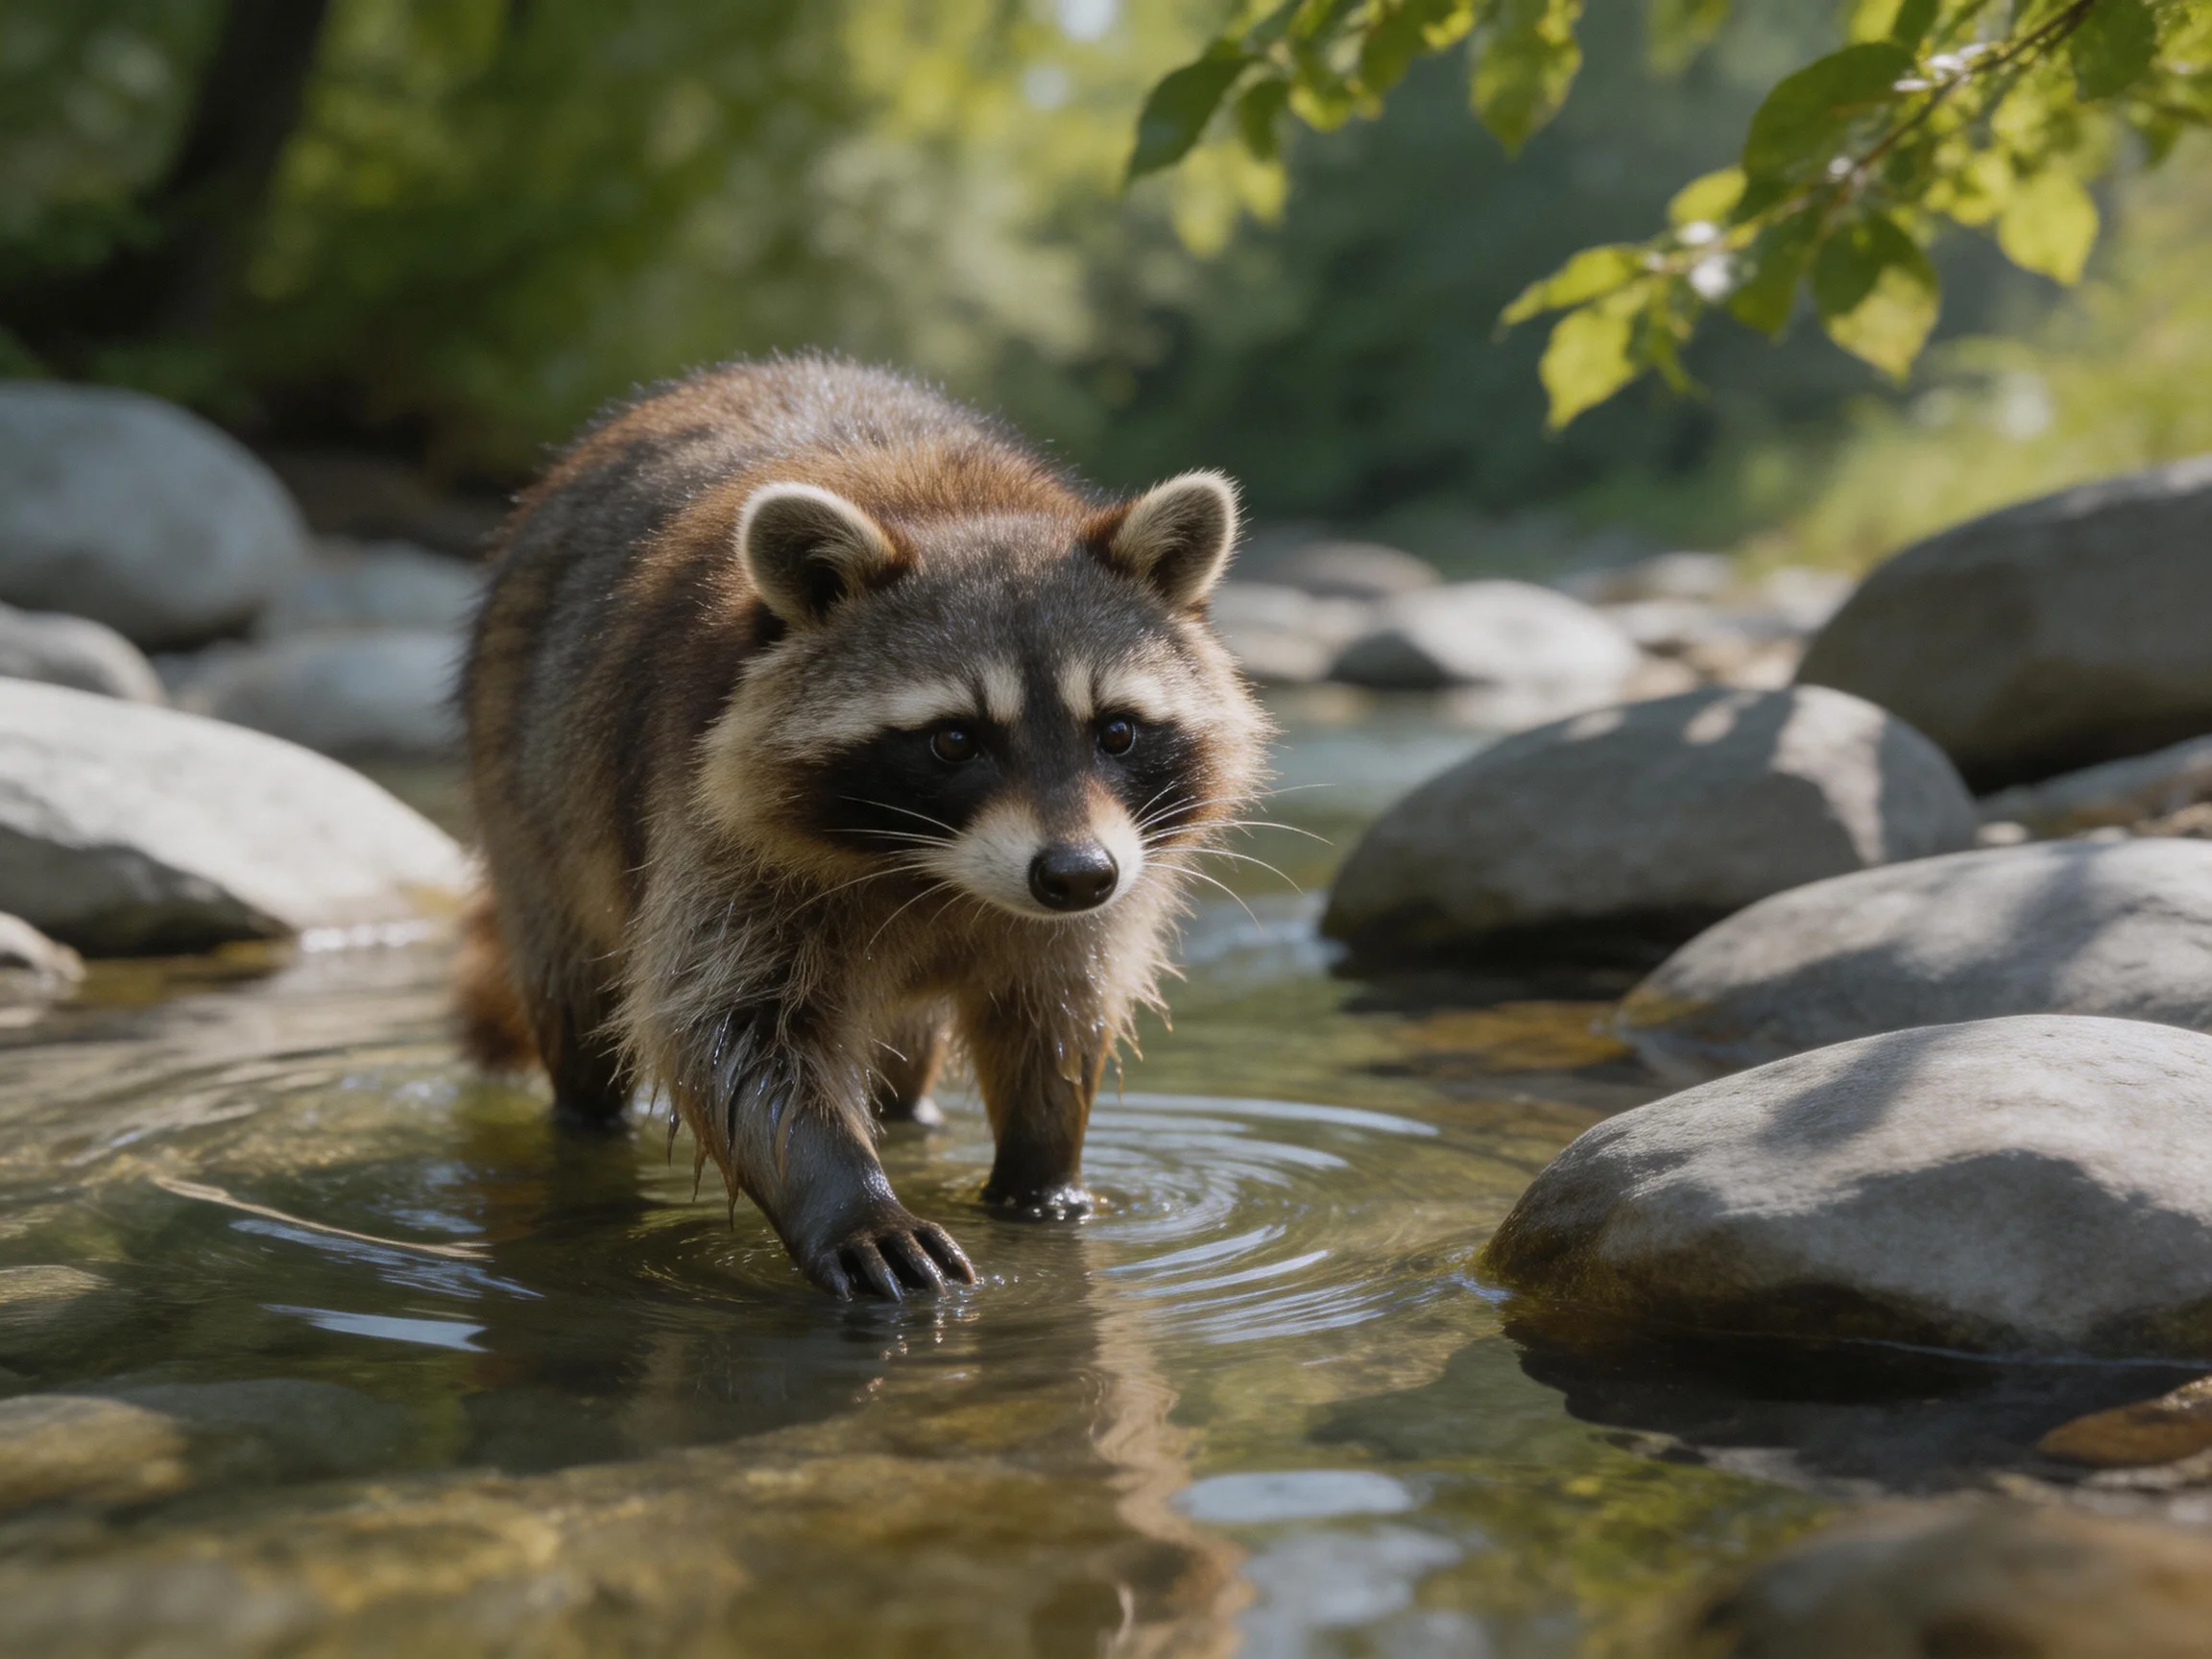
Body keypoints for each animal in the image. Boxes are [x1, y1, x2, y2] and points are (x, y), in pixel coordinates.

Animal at [458, 356, 1268, 1298]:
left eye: (1117, 732)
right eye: (954, 740)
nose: (1076, 875)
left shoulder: (1108, 875)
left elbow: (1059, 1009)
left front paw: (1042, 1164)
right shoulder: (705, 818)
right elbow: (729, 1026)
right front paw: (850, 1199)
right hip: (526, 789)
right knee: (578, 1002)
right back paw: (586, 1121)